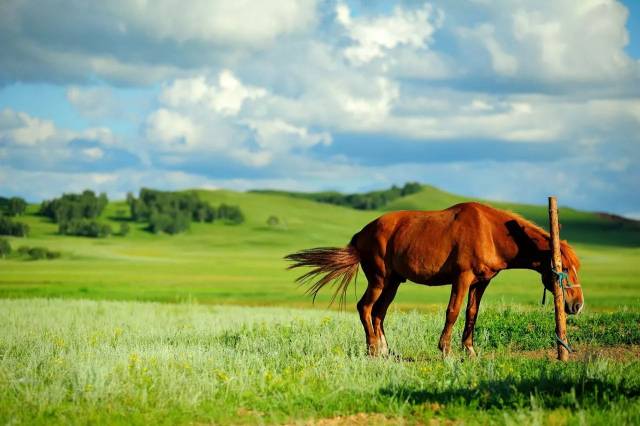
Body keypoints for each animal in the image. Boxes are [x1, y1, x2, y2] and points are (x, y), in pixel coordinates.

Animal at [288, 202, 584, 356]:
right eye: (565, 267)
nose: (577, 305)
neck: (490, 231)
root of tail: (362, 233)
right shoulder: (462, 278)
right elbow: (452, 312)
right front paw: (445, 350)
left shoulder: (481, 283)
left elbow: (471, 313)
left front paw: (469, 350)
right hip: (379, 280)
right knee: (365, 308)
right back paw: (372, 349)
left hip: (393, 283)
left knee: (379, 313)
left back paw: (385, 350)